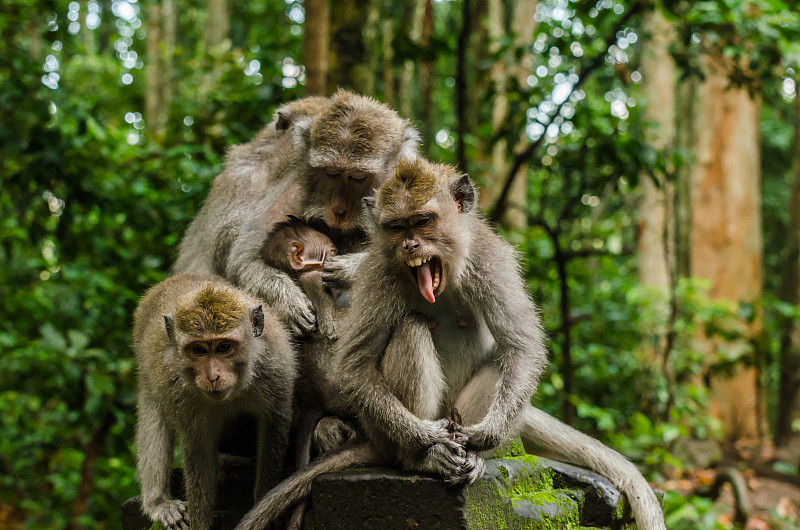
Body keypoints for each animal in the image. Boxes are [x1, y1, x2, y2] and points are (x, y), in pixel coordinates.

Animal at [134, 272, 296, 528]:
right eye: (199, 350)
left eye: (224, 347)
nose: (212, 376)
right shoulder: (178, 390)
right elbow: (198, 450)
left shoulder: (276, 366)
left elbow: (273, 428)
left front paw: (265, 506)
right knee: (153, 414)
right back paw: (158, 501)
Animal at [173, 87, 418, 334]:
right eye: (331, 173)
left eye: (357, 177)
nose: (339, 209)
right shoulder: (252, 178)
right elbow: (242, 257)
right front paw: (287, 299)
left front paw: (350, 268)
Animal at [234, 157, 664, 528]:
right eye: (396, 227)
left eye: (423, 221)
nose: (410, 246)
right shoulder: (378, 273)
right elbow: (354, 364)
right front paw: (426, 437)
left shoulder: (490, 259)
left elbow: (521, 346)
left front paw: (487, 434)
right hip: (388, 428)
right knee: (409, 328)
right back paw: (423, 457)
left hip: (458, 408)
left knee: (500, 361)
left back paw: (473, 457)